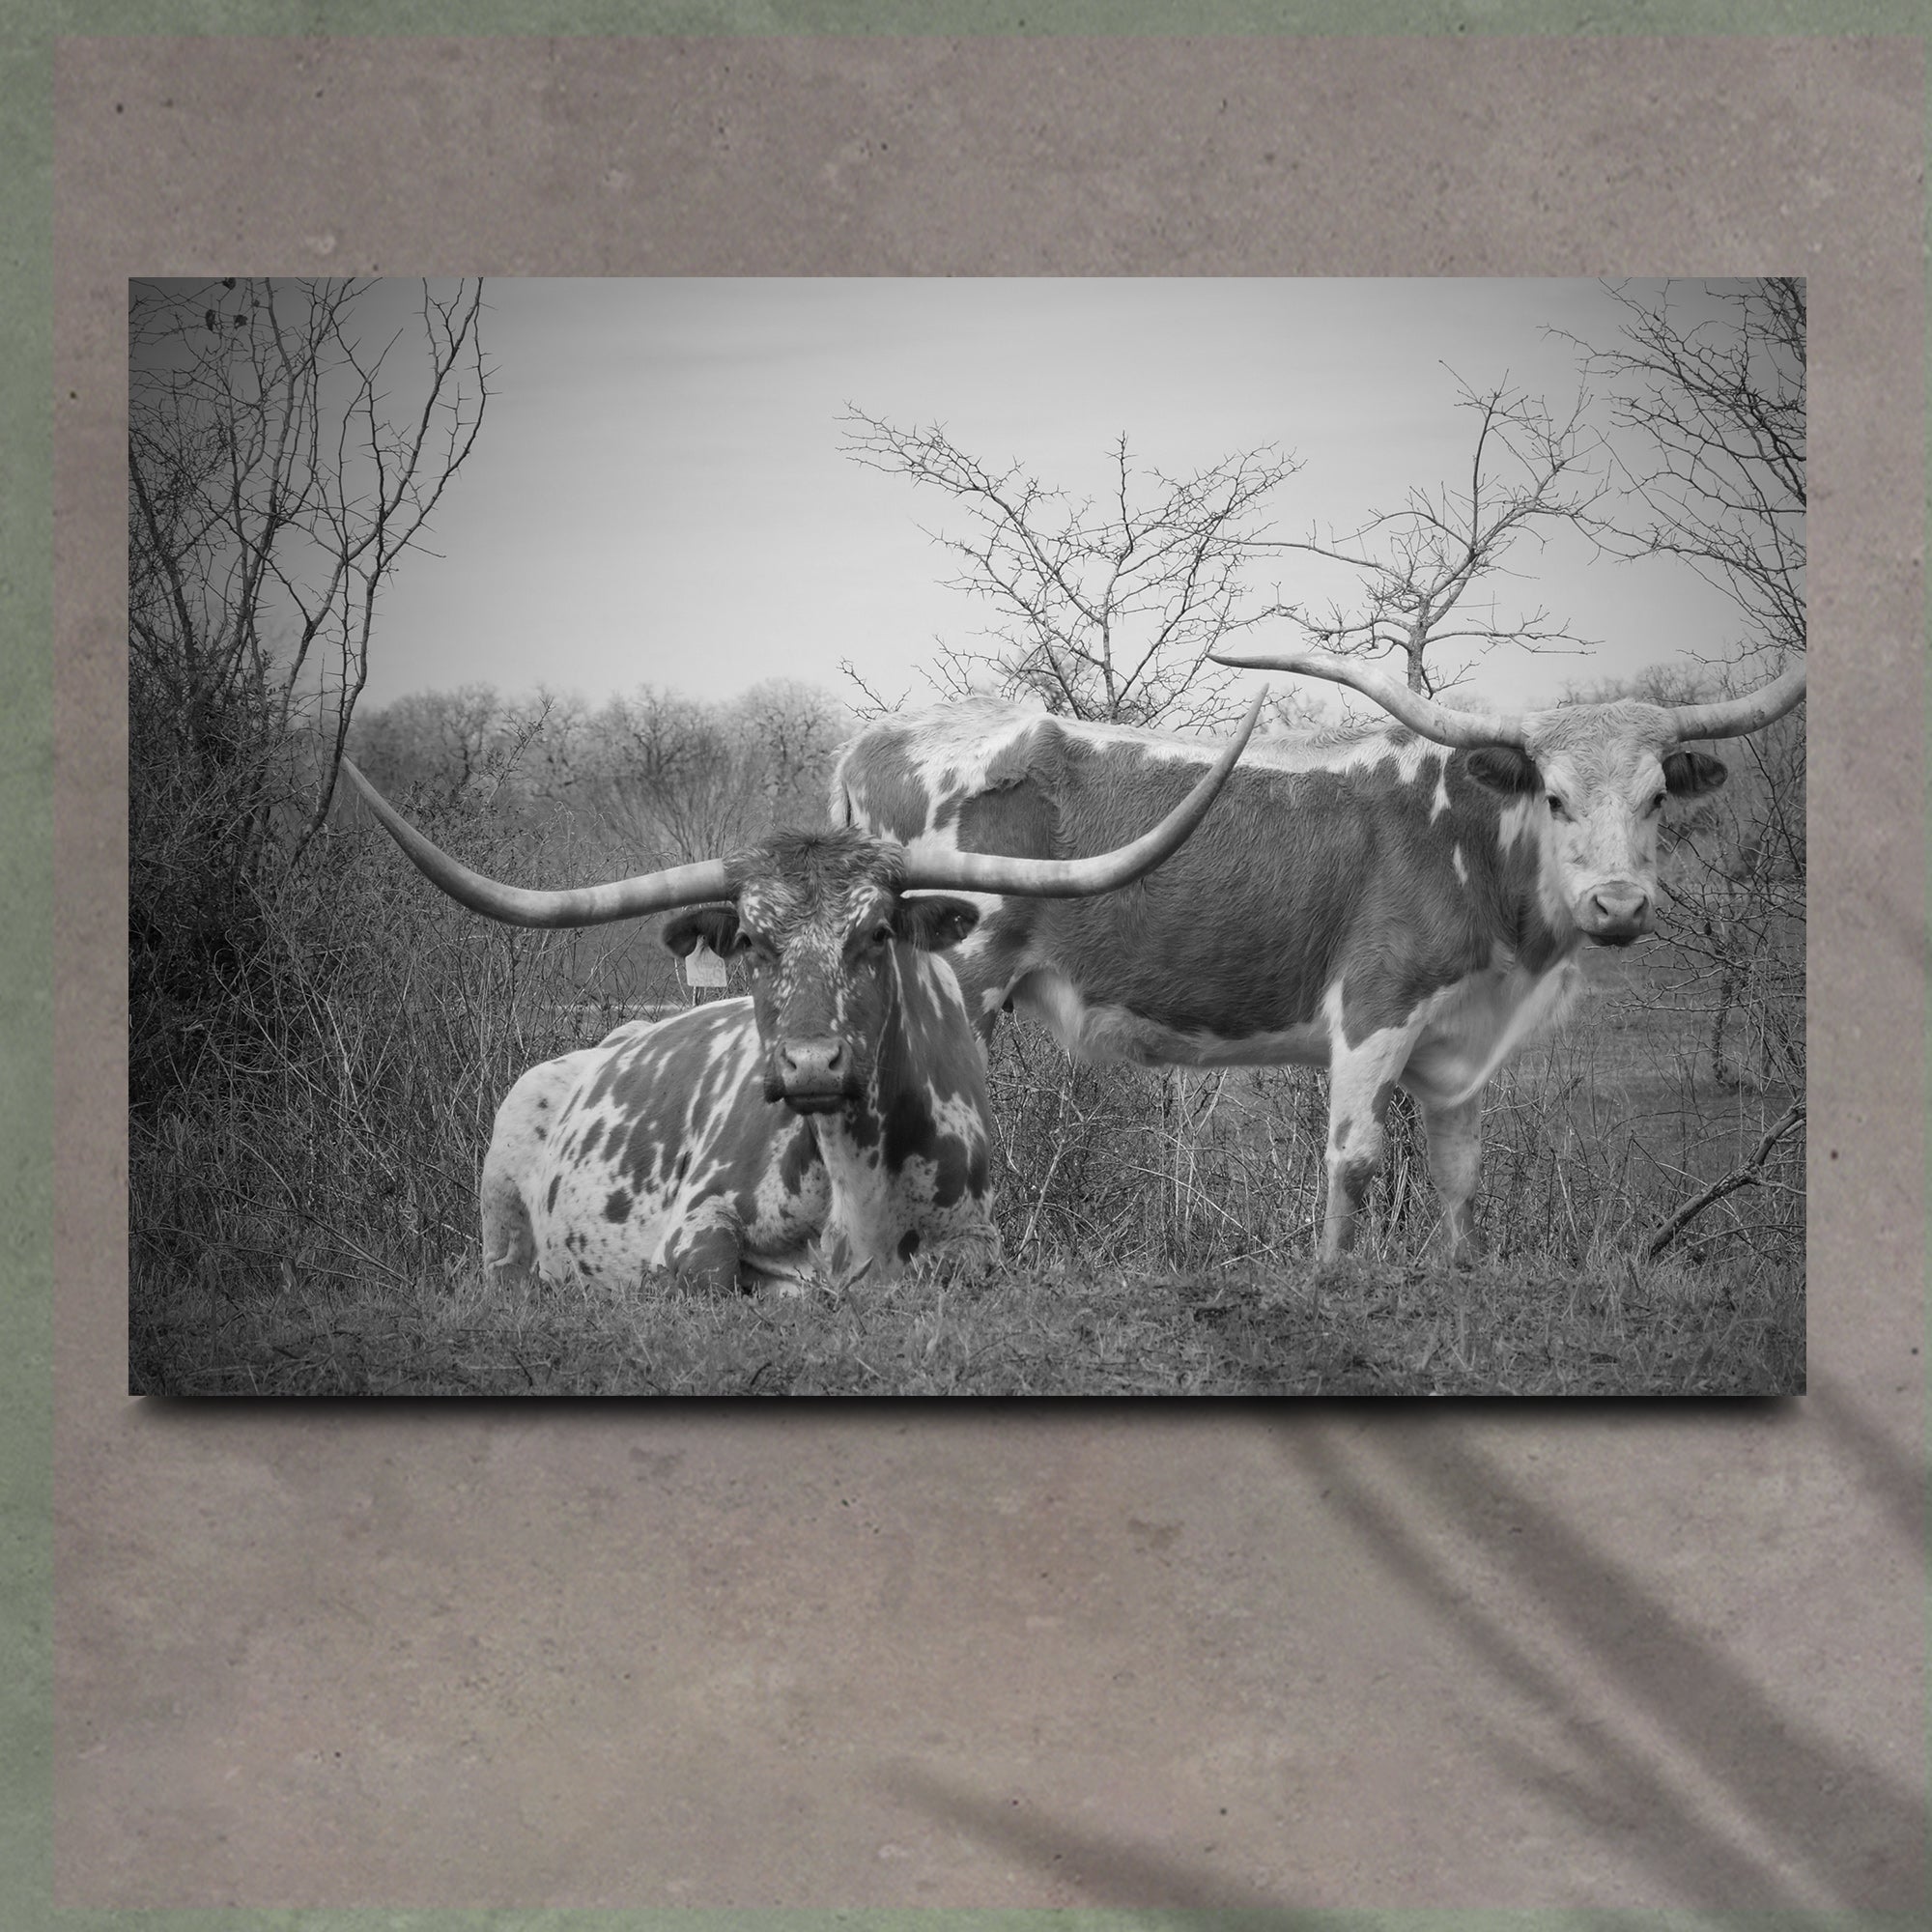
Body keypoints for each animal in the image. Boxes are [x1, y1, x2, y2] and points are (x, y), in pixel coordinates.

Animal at [336, 691, 1258, 1293]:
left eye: (877, 932)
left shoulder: (976, 1248)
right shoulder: (692, 1232)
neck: (857, 1183)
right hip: (501, 1222)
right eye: (750, 939)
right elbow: (711, 1280)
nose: (812, 1065)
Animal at [832, 648, 1806, 1264]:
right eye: (1556, 798)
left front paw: (1458, 1279)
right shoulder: (1376, 1012)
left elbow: (1458, 1178)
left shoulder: (1462, 1045)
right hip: (956, 983)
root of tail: (871, 741)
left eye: (1655, 799)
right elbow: (1356, 1162)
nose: (1619, 905)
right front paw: (1332, 1281)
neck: (1466, 840)